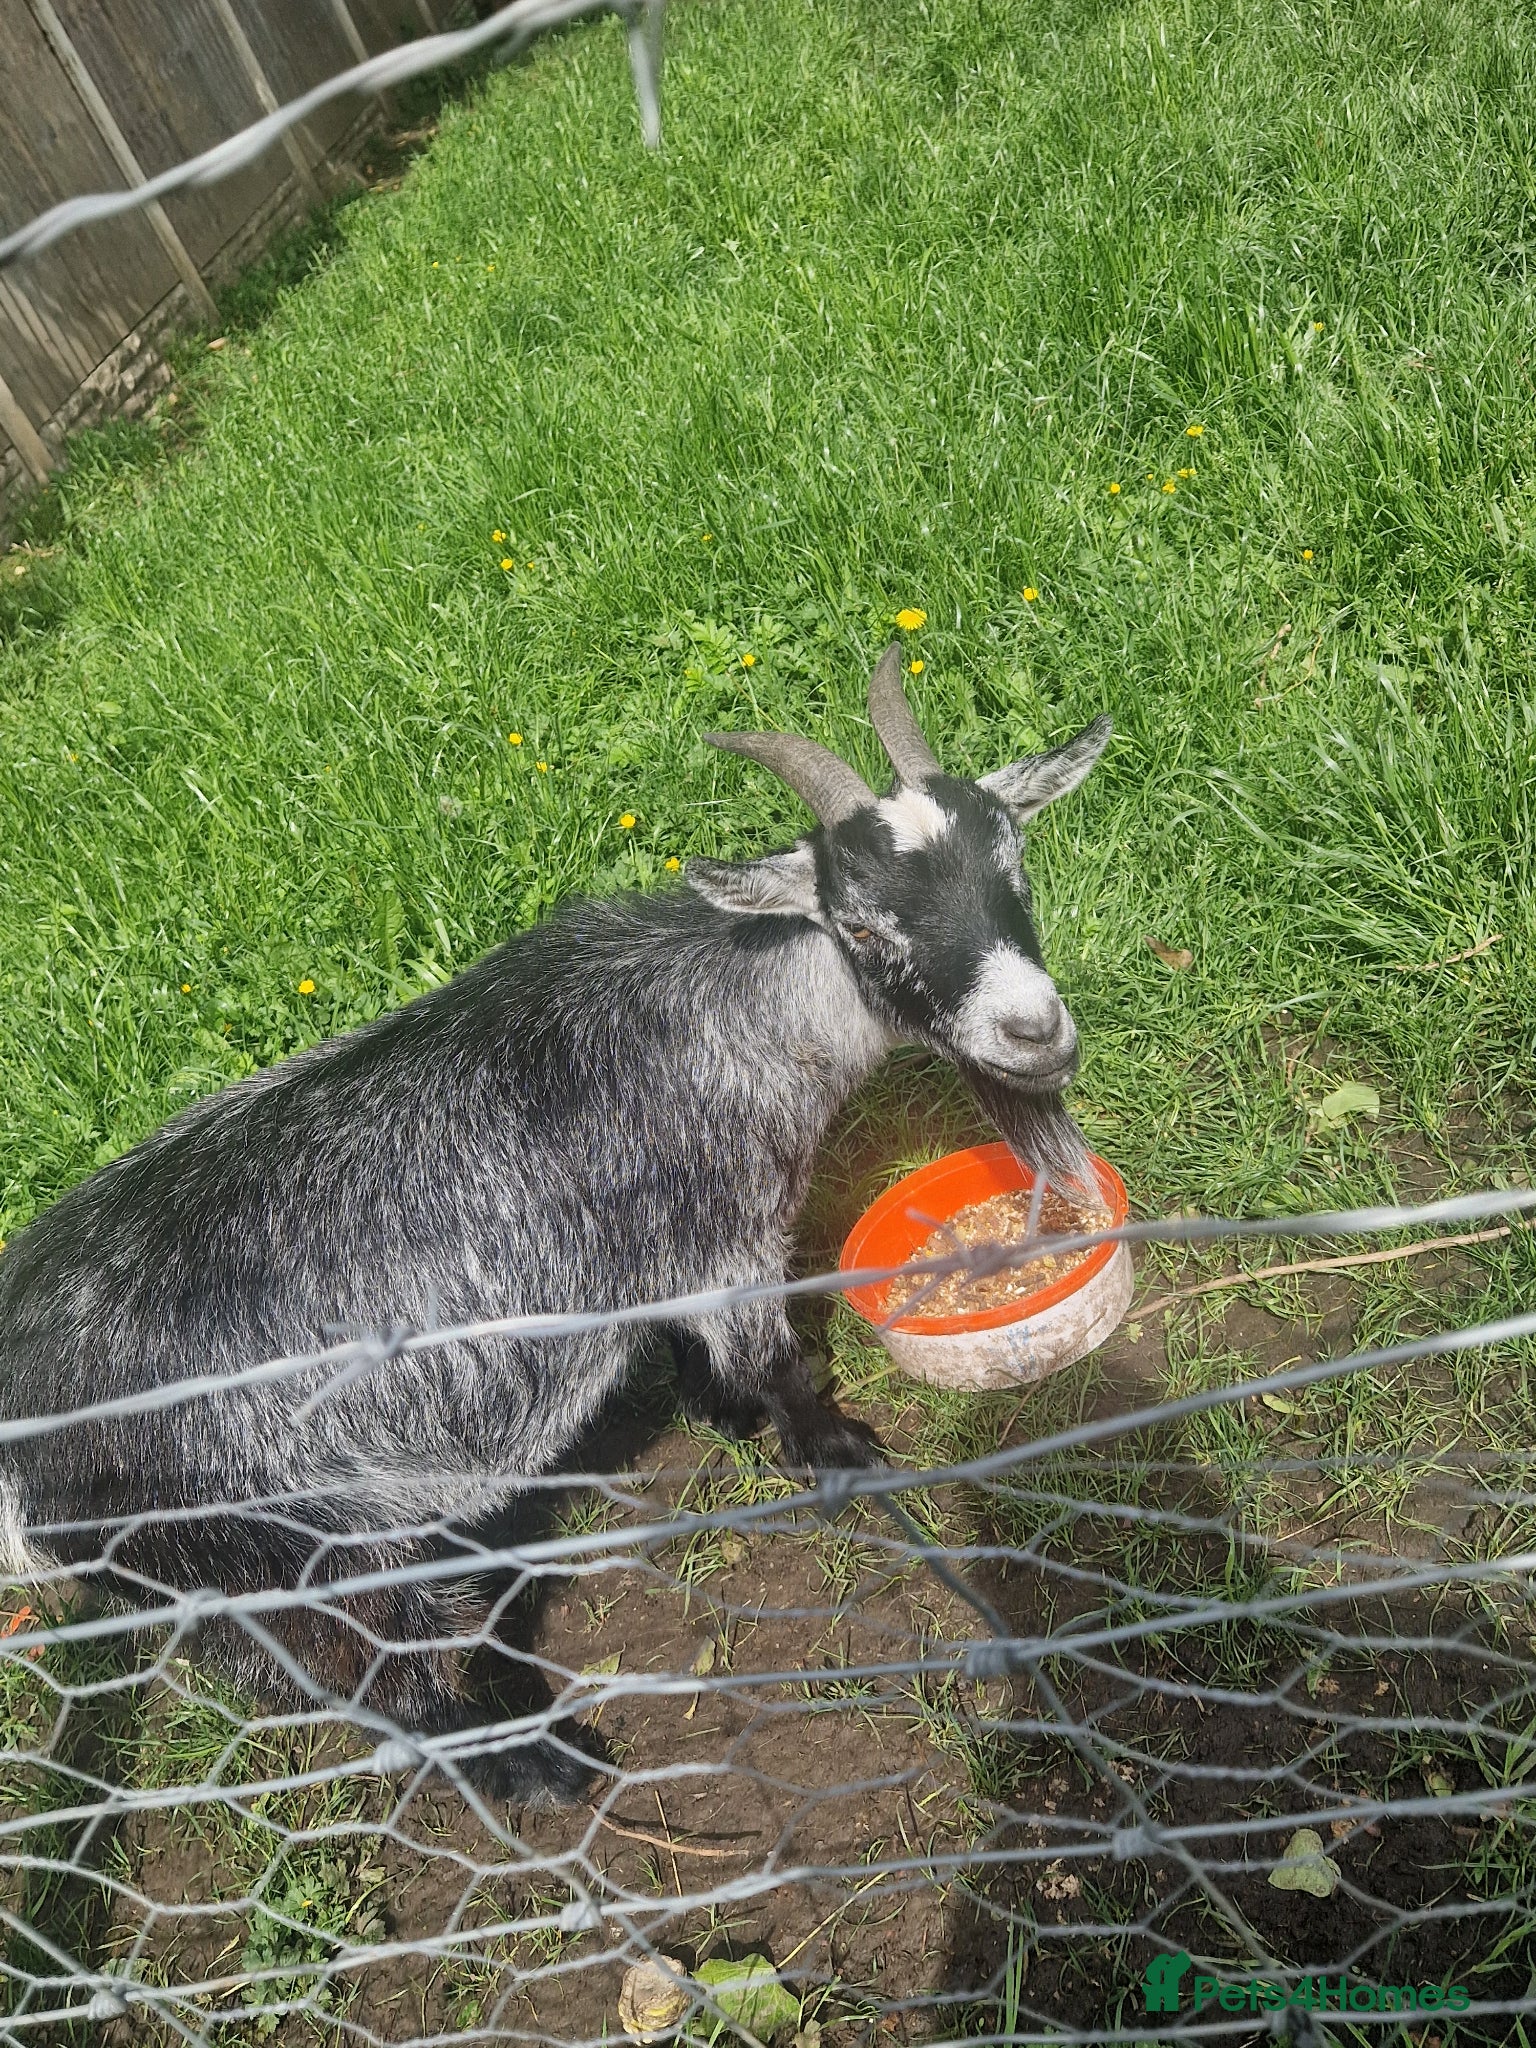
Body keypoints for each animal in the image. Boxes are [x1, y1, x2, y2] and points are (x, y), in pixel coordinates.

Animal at [0, 646, 1109, 1803]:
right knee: (393, 1688)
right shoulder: (724, 1234)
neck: (729, 1020)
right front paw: (833, 1449)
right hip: (285, 1553)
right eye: (860, 924)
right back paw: (547, 1770)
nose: (1035, 1032)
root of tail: (23, 1459)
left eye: (1016, 866)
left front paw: (723, 1414)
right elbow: (769, 1356)